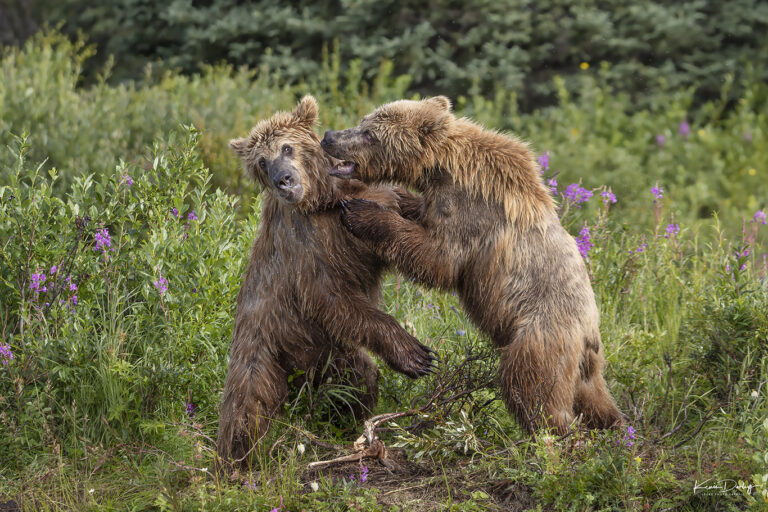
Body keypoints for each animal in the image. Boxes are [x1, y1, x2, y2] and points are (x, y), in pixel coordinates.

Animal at [217, 96, 435, 463]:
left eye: (287, 147)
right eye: (262, 161)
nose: (283, 179)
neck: (323, 200)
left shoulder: (368, 200)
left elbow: (403, 214)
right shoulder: (306, 246)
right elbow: (329, 296)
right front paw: (416, 355)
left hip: (323, 350)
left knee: (357, 381)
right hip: (271, 346)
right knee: (247, 410)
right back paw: (236, 457)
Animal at [320, 96, 622, 434]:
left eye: (370, 133)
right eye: (363, 121)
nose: (329, 136)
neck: (442, 169)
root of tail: (589, 332)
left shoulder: (472, 213)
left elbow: (439, 258)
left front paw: (362, 211)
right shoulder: (440, 200)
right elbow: (421, 216)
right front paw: (396, 198)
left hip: (541, 337)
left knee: (530, 387)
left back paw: (552, 433)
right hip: (587, 367)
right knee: (595, 398)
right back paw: (613, 428)